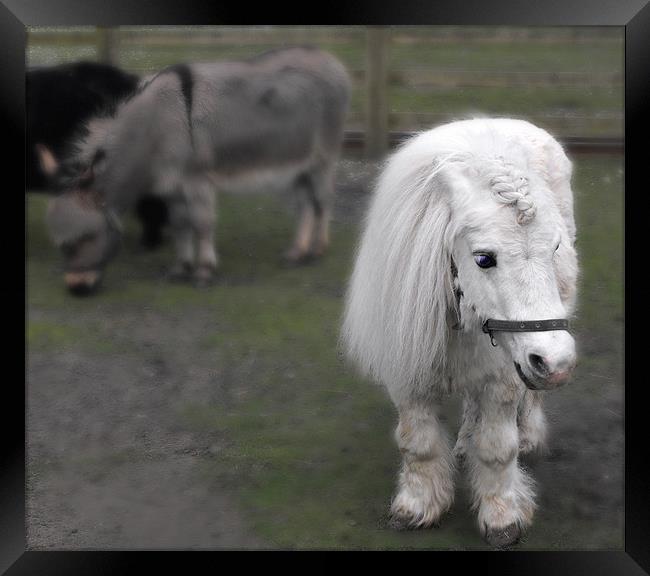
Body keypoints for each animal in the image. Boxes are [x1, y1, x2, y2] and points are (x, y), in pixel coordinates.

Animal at [342, 118, 576, 548]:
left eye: (554, 249)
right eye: (483, 258)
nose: (556, 362)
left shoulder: (504, 376)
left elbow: (498, 448)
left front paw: (502, 516)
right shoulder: (407, 373)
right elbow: (417, 443)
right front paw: (418, 507)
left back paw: (528, 436)